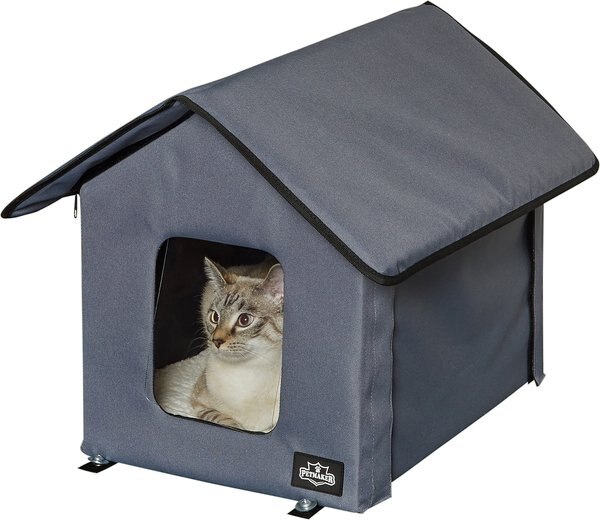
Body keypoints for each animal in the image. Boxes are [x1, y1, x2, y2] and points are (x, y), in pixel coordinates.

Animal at [154, 256, 284, 433]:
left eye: (244, 320)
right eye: (215, 317)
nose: (216, 341)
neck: (247, 369)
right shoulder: (199, 402)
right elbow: (226, 421)